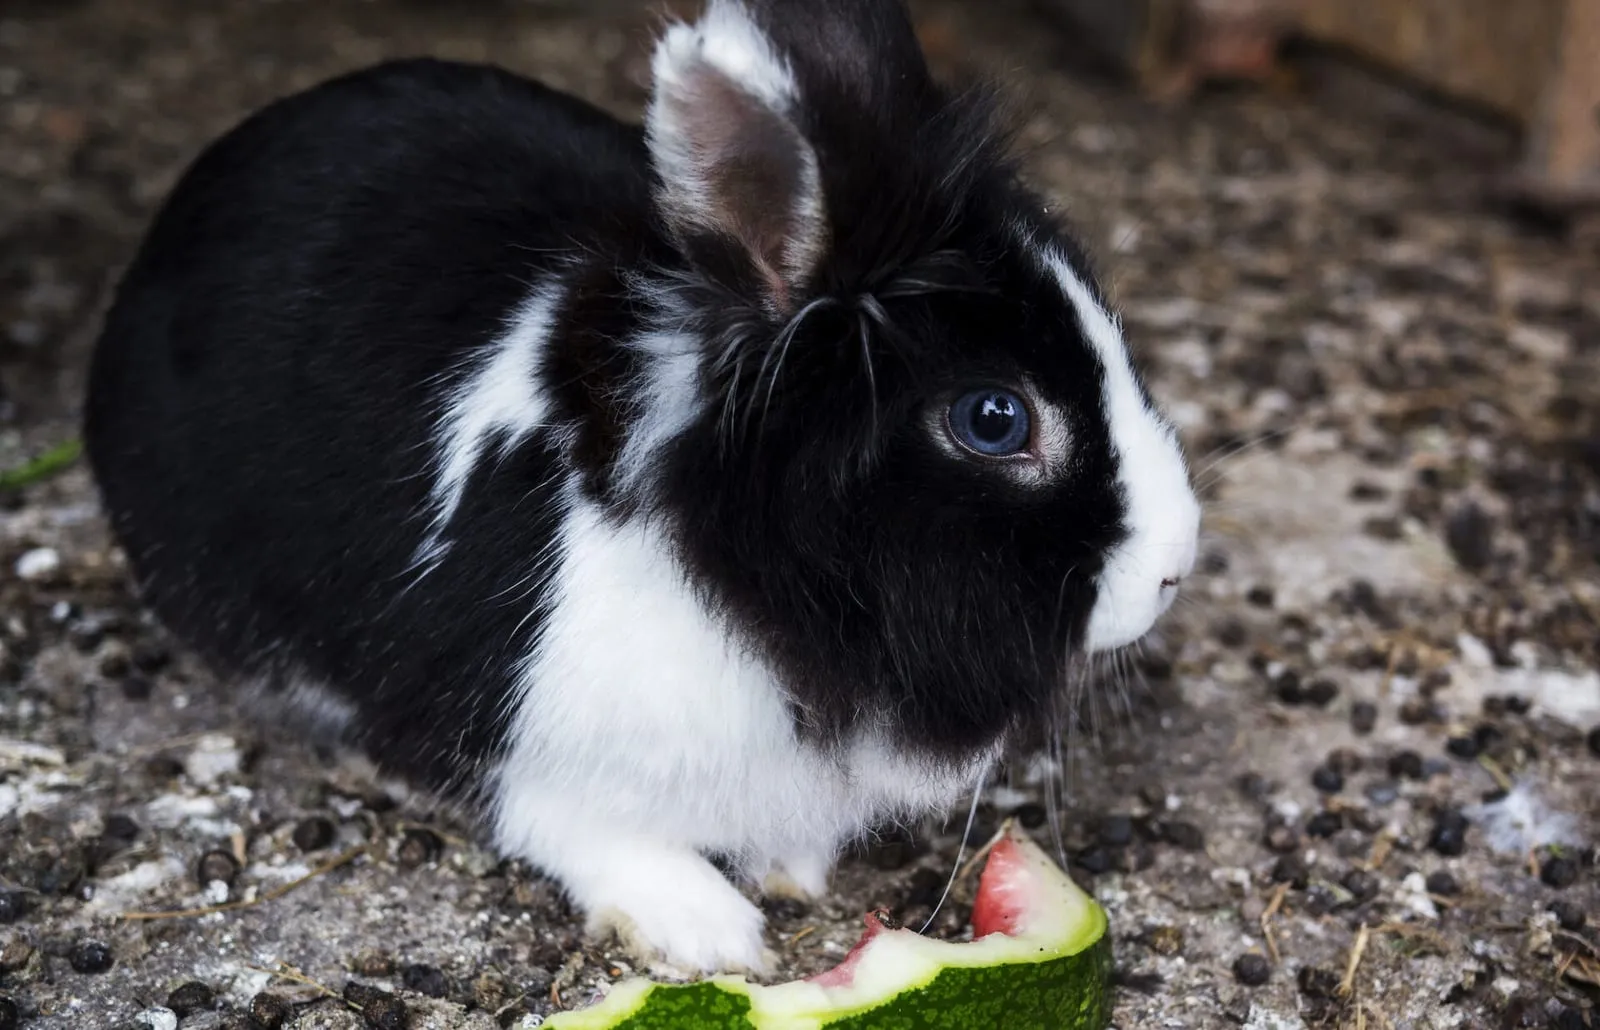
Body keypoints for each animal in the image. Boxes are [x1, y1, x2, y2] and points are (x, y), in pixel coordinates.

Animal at [84, 0, 1201, 976]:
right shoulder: (532, 747)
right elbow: (589, 833)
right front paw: (708, 932)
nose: (1174, 569)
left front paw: (789, 871)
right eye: (995, 419)